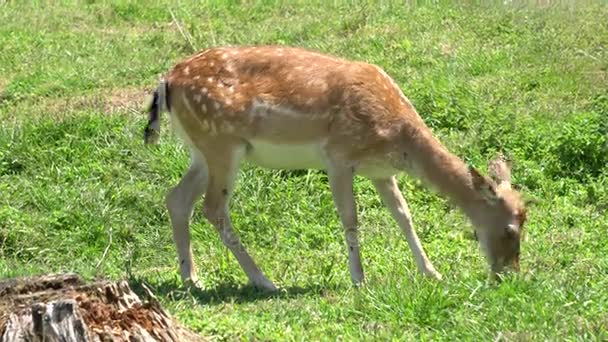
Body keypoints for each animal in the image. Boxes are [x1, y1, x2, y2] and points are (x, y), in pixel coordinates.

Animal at [142, 45, 528, 292]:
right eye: (510, 230)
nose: (509, 275)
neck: (397, 136)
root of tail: (166, 81)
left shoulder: (380, 170)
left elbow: (404, 215)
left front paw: (432, 273)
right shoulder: (339, 156)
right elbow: (350, 217)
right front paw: (359, 280)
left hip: (202, 151)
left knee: (177, 198)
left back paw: (192, 278)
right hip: (222, 143)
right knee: (213, 207)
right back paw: (264, 281)